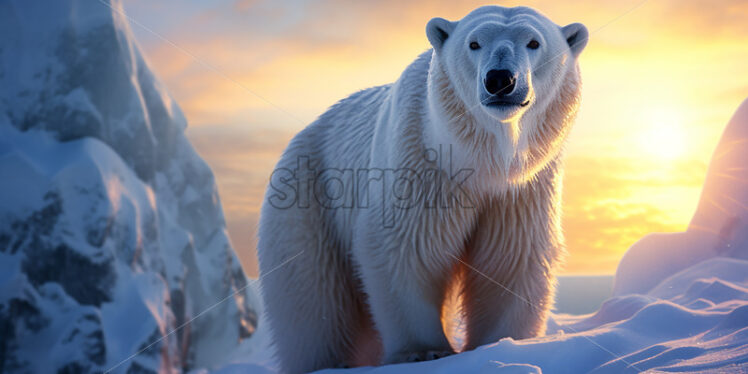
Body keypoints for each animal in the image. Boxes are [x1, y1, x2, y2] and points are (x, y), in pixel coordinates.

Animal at [258, 5, 584, 374]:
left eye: (533, 42)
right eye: (474, 43)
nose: (500, 79)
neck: (482, 161)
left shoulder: (522, 191)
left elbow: (511, 258)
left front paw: (502, 344)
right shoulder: (421, 166)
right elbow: (405, 247)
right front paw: (424, 351)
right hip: (308, 197)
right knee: (311, 303)